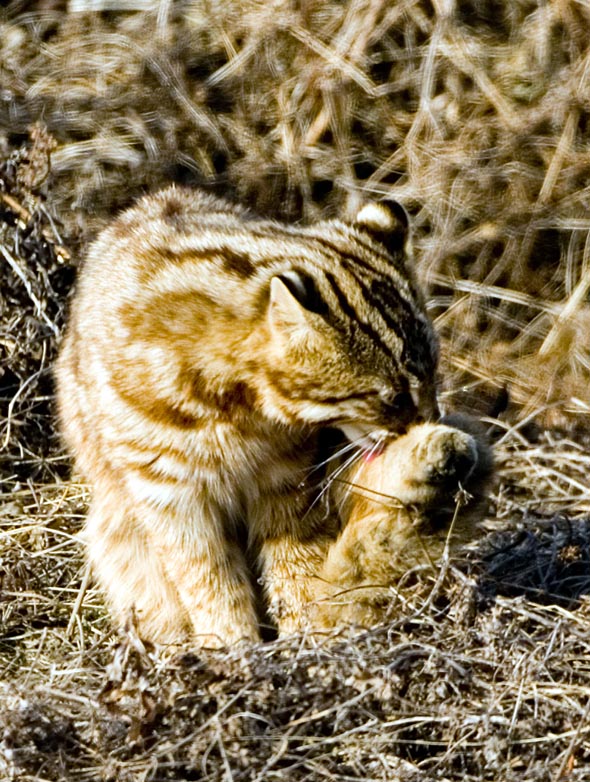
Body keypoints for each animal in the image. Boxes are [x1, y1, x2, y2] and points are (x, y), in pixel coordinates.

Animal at [56, 185, 490, 648]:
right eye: (391, 397)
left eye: (433, 373)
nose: (429, 417)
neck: (239, 411)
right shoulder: (171, 495)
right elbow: (209, 580)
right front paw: (233, 646)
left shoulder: (289, 480)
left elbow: (296, 564)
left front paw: (300, 637)